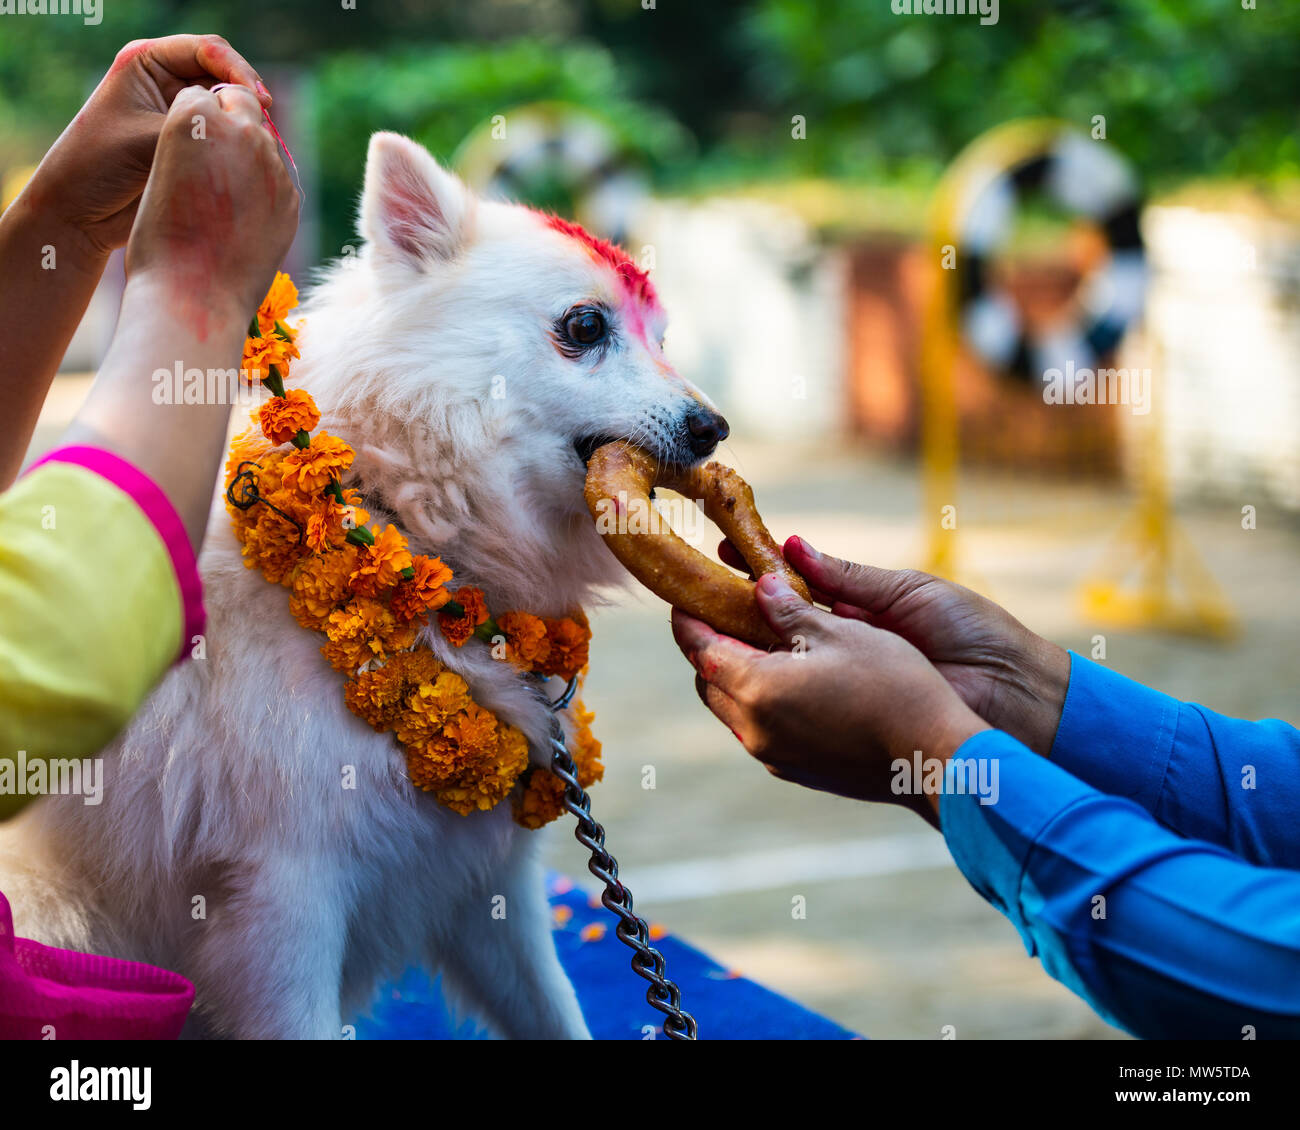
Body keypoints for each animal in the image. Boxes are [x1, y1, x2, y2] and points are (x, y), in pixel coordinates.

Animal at [0, 134, 733, 1040]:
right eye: (585, 327)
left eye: (661, 338)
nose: (714, 429)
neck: (412, 537)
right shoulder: (283, 906)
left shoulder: (490, 892)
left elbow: (556, 1012)